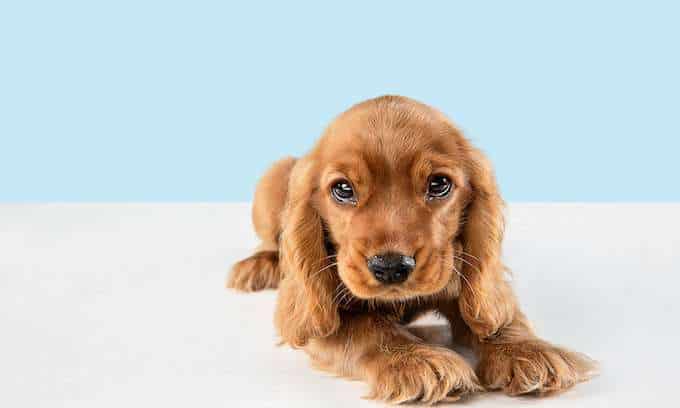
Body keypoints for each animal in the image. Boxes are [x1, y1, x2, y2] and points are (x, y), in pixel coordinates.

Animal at [228, 96, 596, 404]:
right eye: (342, 189)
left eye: (439, 184)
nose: (390, 267)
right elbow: (367, 329)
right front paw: (416, 360)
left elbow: (497, 315)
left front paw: (527, 350)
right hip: (272, 180)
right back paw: (259, 265)